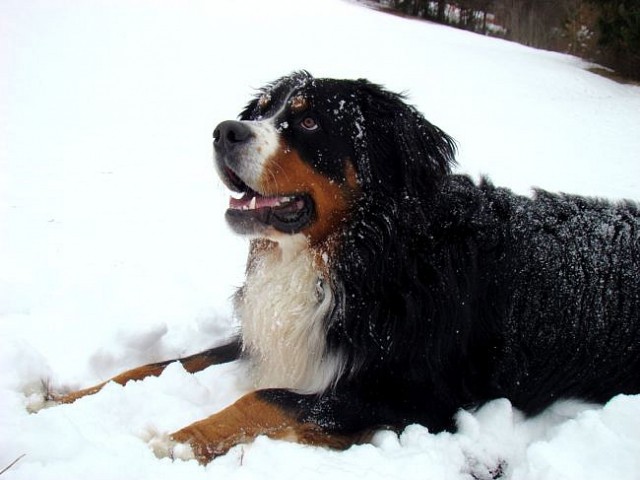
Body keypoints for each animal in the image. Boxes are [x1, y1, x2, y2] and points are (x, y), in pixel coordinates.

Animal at [58, 70, 640, 462]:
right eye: (259, 112)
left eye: (311, 120)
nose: (224, 131)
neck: (363, 254)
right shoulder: (280, 339)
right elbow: (158, 365)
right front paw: (63, 398)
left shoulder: (415, 398)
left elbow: (268, 399)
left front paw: (176, 441)